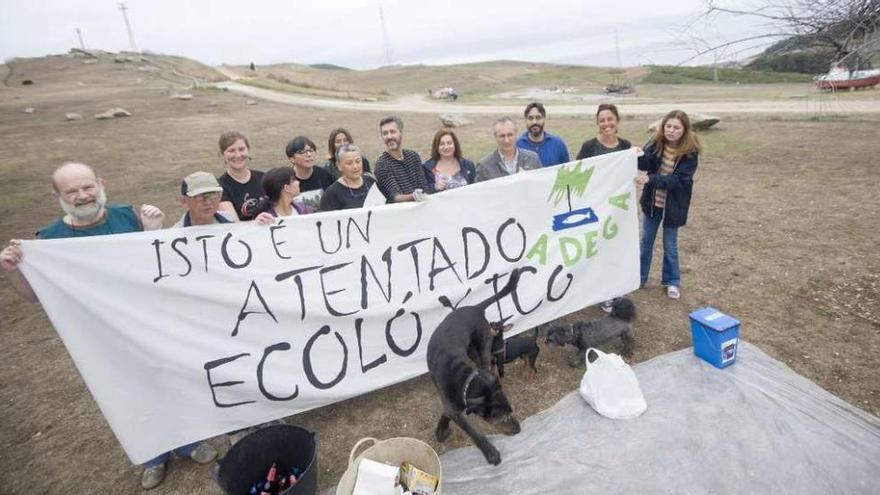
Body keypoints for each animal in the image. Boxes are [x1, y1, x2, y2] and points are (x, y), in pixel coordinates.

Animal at [426, 268, 524, 464]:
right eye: (503, 419)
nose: (519, 429)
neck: (465, 381)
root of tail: (476, 308)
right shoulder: (452, 405)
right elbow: (472, 431)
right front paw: (490, 452)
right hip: (474, 350)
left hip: (484, 346)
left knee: (487, 364)